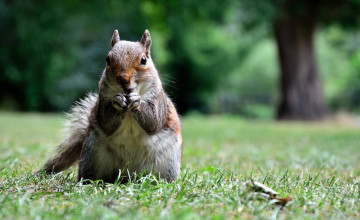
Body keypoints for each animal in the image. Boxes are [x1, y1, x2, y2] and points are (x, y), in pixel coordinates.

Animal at [39, 30, 183, 183]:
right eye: (108, 59)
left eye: (144, 60)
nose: (123, 79)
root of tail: (128, 176)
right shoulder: (103, 101)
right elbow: (107, 123)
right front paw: (118, 101)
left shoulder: (158, 102)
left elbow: (154, 122)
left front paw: (136, 102)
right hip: (92, 155)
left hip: (168, 163)